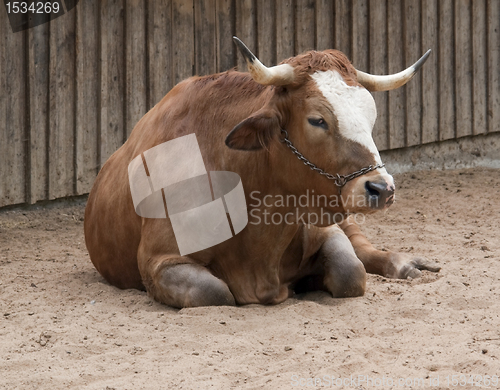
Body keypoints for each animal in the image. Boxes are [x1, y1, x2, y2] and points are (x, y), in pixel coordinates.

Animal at [85, 38, 442, 310]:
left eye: (371, 115)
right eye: (317, 120)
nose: (382, 189)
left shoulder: (324, 229)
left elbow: (350, 271)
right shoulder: (159, 261)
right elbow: (215, 292)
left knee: (363, 251)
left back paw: (405, 264)